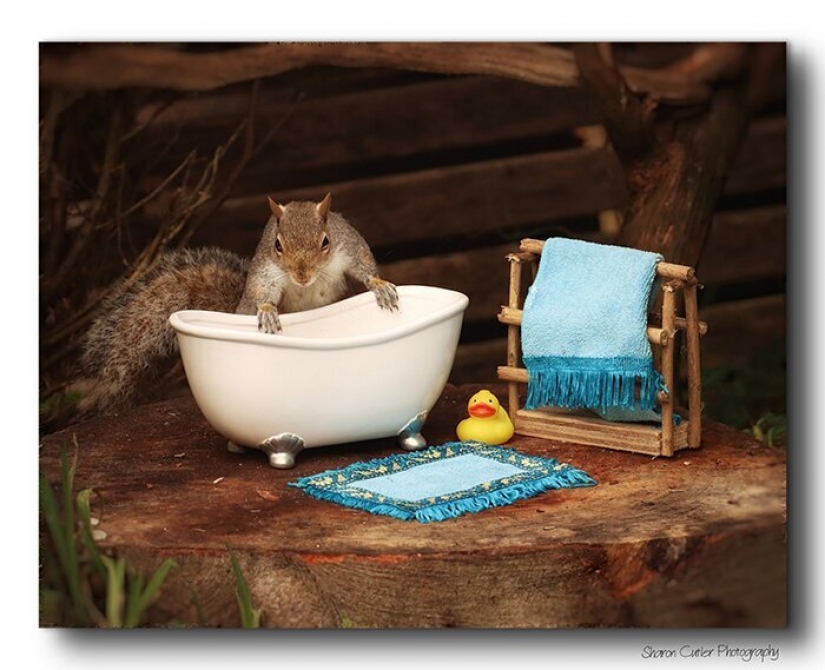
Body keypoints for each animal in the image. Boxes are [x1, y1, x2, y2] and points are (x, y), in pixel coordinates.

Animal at [76, 193, 398, 414]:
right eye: (277, 245)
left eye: (325, 242)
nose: (301, 275)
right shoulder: (266, 271)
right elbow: (261, 291)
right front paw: (267, 311)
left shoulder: (349, 247)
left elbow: (364, 266)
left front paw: (380, 286)